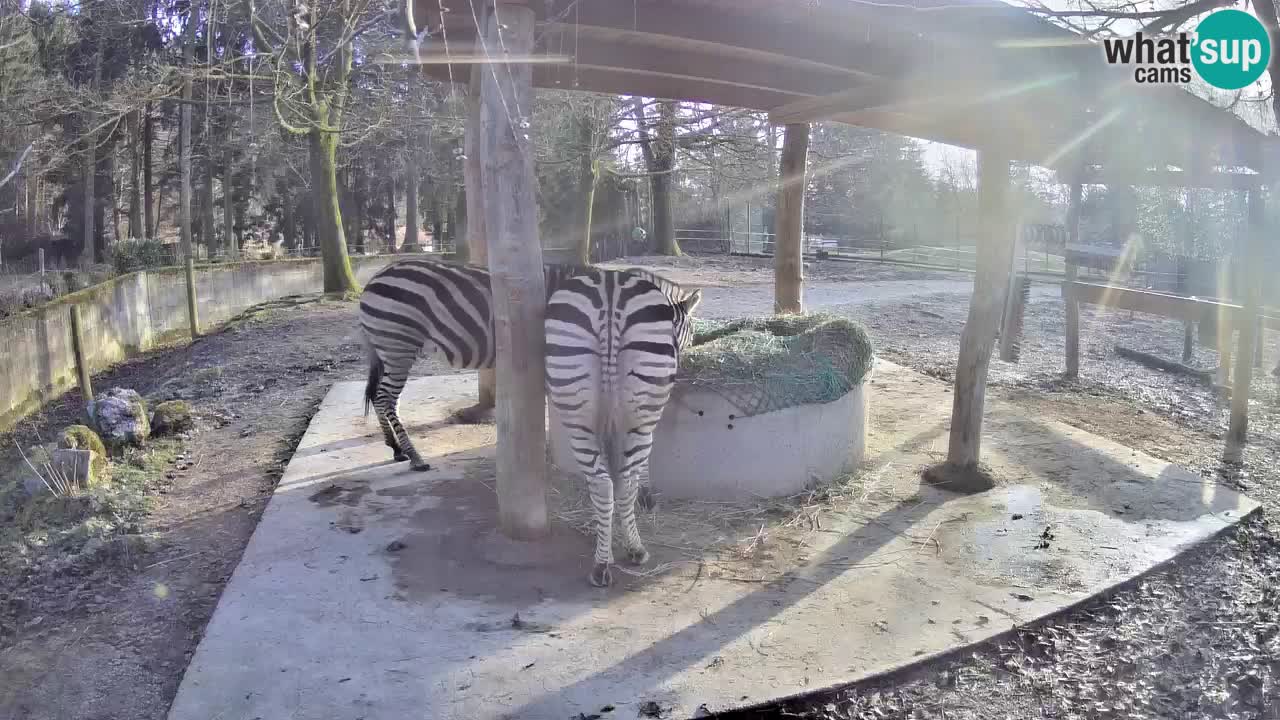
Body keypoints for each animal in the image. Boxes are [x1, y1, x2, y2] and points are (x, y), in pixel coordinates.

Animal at [540, 266, 701, 586]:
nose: (682, 358)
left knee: (605, 483)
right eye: (689, 333)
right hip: (638, 413)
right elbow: (635, 467)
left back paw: (605, 561)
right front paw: (646, 497)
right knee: (624, 481)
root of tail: (610, 291)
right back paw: (633, 549)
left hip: (579, 411)